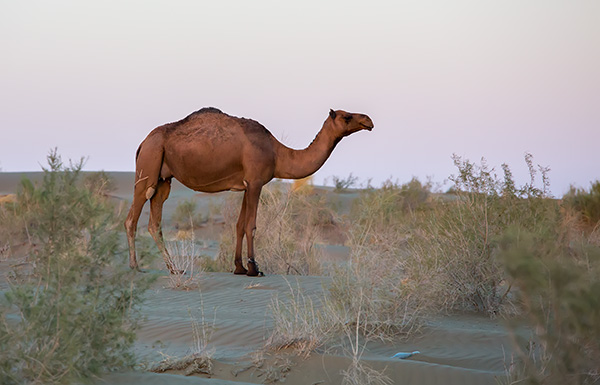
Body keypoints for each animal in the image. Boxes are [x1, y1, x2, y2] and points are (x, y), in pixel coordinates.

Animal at [125, 107, 372, 276]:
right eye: (346, 116)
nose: (368, 121)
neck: (277, 153)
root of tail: (143, 142)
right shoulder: (256, 182)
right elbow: (251, 225)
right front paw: (255, 268)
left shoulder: (246, 184)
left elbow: (239, 225)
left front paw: (239, 267)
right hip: (149, 165)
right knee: (132, 218)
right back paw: (135, 266)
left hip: (163, 179)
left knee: (154, 223)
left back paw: (174, 268)